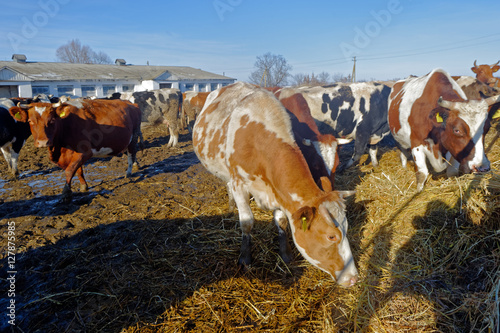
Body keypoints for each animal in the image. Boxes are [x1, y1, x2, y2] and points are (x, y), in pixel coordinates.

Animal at [9, 98, 143, 202]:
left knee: (131, 153)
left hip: (134, 136)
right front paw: (84, 186)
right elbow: (78, 170)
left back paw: (129, 172)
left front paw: (66, 193)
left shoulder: (85, 151)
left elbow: (69, 170)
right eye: (30, 121)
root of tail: (131, 103)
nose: (42, 142)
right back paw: (136, 165)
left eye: (52, 120)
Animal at [192, 81, 360, 286]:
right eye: (331, 236)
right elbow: (247, 222)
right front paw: (245, 259)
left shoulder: (279, 192)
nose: (353, 278)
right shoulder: (240, 185)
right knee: (228, 184)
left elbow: (281, 222)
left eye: (347, 228)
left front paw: (285, 254)